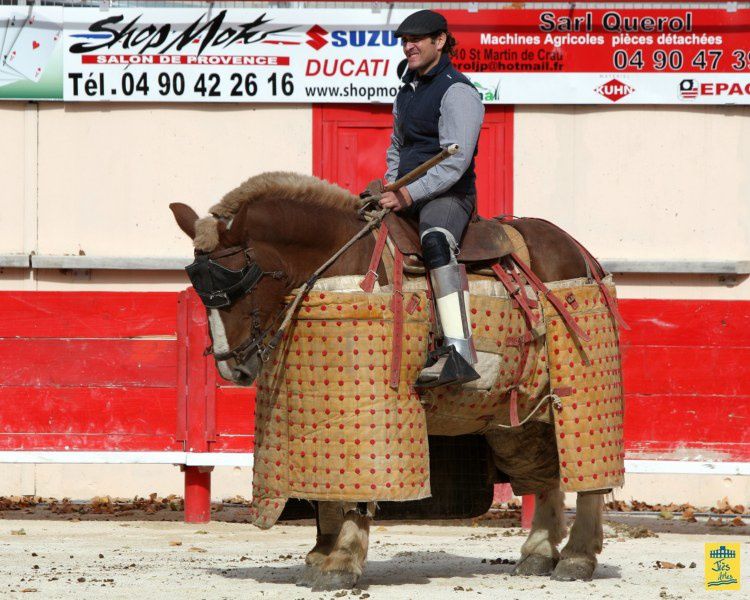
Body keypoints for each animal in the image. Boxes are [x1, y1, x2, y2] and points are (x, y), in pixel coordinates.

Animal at [173, 170, 612, 592]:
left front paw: (341, 561)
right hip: (517, 411)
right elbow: (330, 489)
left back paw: (576, 558)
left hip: (581, 385)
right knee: (546, 469)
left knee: (588, 471)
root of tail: (579, 251)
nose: (232, 368)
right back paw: (538, 552)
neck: (338, 256)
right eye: (200, 289)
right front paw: (321, 555)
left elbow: (361, 490)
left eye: (239, 283)